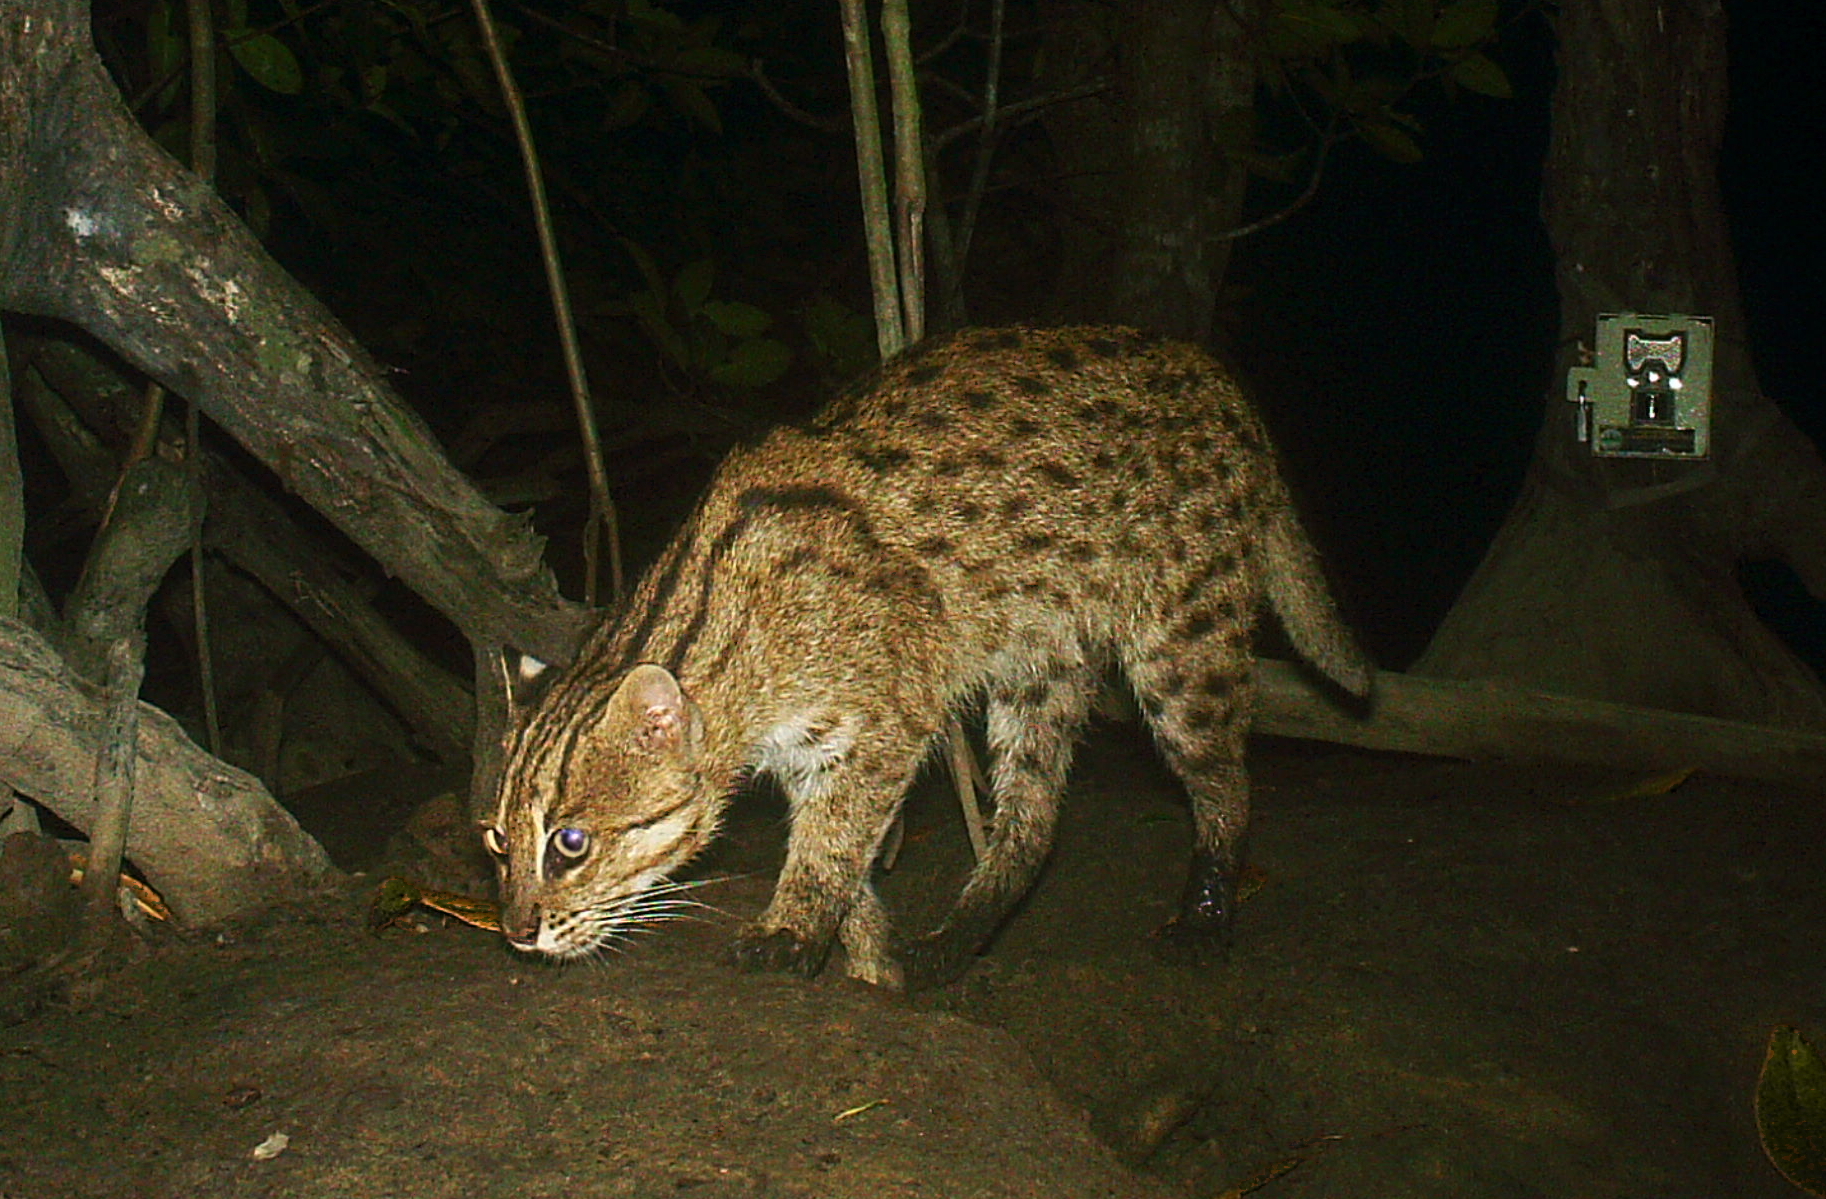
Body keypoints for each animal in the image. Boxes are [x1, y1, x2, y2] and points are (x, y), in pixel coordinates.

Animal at [485, 324, 1373, 992]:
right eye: (495, 841)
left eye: (570, 842)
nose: (516, 931)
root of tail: (1219, 378)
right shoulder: (816, 748)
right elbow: (849, 861)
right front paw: (872, 963)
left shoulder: (886, 716)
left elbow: (833, 842)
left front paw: (792, 931)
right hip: (1037, 662)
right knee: (1035, 819)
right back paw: (957, 936)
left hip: (1183, 639)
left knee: (1227, 783)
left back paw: (1204, 916)